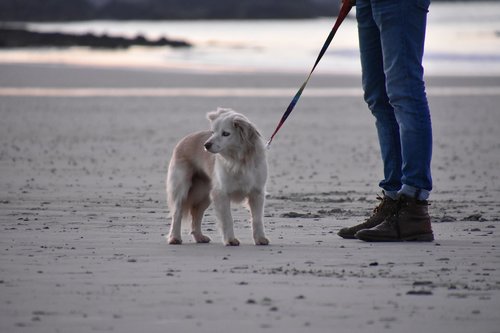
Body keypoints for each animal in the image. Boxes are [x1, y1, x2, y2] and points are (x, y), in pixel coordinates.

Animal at [166, 107, 270, 245]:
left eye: (225, 133)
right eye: (212, 132)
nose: (206, 145)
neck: (238, 160)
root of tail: (184, 140)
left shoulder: (256, 193)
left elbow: (257, 219)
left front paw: (260, 238)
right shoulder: (221, 194)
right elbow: (227, 219)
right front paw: (230, 240)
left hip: (204, 195)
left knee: (196, 214)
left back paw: (199, 237)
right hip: (182, 190)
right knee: (177, 213)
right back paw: (174, 237)